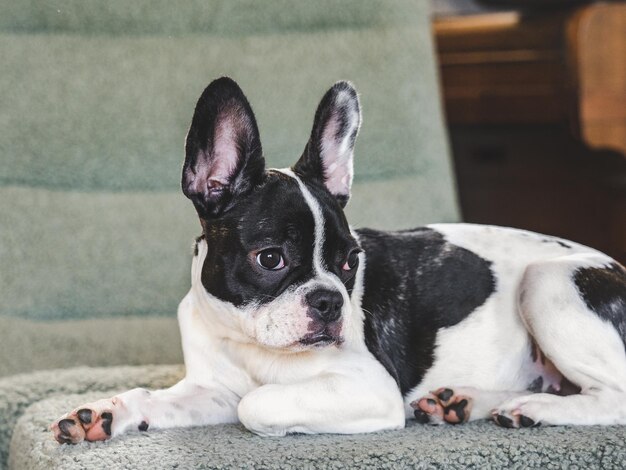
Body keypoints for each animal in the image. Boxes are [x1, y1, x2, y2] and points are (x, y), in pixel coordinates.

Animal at [52, 78, 624, 444]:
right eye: (271, 259)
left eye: (351, 262)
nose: (330, 302)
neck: (247, 342)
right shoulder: (209, 388)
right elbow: (160, 396)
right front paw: (107, 412)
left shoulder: (365, 386)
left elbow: (255, 404)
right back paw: (463, 402)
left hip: (546, 282)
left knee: (613, 397)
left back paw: (534, 409)